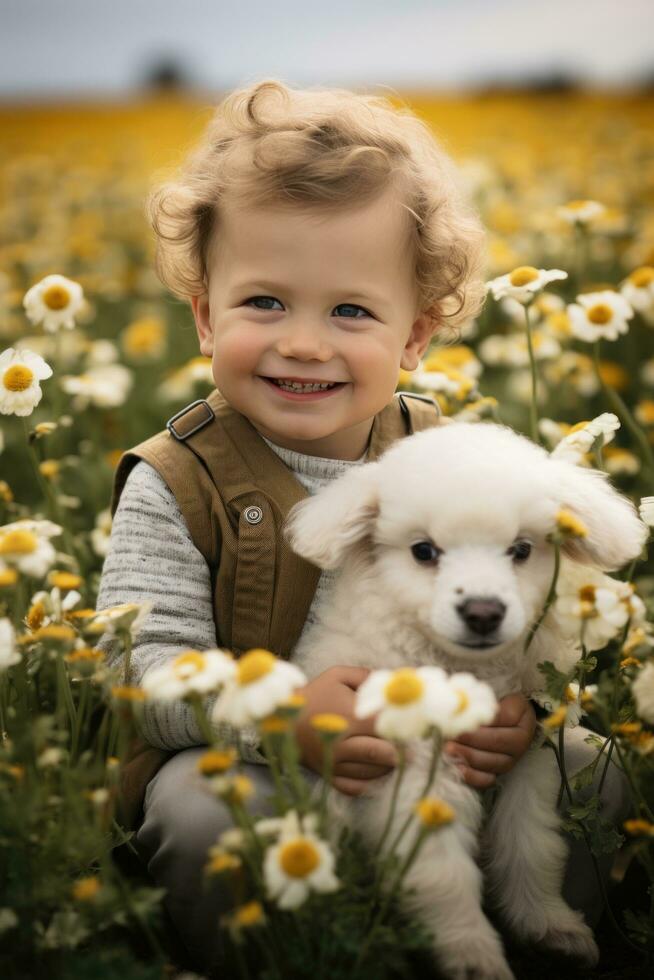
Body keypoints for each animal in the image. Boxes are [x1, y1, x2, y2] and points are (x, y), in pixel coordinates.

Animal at [284, 422, 648, 980]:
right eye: (424, 552)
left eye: (521, 550)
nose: (482, 612)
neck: (467, 674)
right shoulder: (416, 777)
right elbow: (443, 873)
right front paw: (472, 953)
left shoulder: (529, 762)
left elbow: (533, 846)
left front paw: (549, 925)